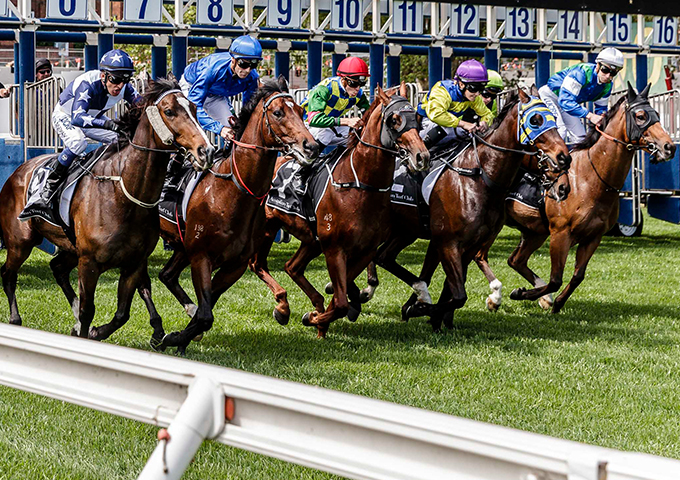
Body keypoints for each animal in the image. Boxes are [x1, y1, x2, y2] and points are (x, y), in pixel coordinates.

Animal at [0, 77, 214, 344]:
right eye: (169, 111)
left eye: (194, 109)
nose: (206, 151)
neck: (123, 194)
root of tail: (17, 171)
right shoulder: (89, 263)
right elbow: (88, 310)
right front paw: (87, 329)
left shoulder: (133, 263)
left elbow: (123, 312)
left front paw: (96, 331)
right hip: (20, 242)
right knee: (8, 274)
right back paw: (15, 319)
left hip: (69, 247)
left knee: (57, 268)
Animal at [157, 77, 319, 354]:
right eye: (278, 112)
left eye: (300, 111)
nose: (311, 146)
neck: (230, 192)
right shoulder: (201, 257)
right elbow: (205, 315)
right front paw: (173, 338)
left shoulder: (235, 265)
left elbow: (205, 312)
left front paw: (179, 338)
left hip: (182, 246)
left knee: (167, 275)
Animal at [249, 83, 430, 338]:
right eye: (394, 120)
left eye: (416, 117)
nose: (422, 156)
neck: (362, 186)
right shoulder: (335, 249)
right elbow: (341, 302)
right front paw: (315, 318)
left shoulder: (364, 250)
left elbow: (339, 298)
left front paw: (319, 318)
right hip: (267, 227)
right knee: (257, 264)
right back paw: (283, 308)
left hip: (311, 240)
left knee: (292, 267)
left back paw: (313, 304)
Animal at [373, 87, 572, 331]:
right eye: (536, 120)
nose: (564, 159)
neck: (478, 177)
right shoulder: (447, 243)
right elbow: (458, 294)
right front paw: (420, 309)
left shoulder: (470, 244)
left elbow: (452, 288)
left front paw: (438, 318)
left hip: (405, 232)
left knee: (384, 257)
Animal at [471, 83, 675, 313]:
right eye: (640, 116)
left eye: (657, 113)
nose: (669, 146)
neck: (592, 178)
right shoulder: (561, 234)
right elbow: (555, 279)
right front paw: (522, 294)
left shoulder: (593, 237)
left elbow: (578, 276)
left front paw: (556, 302)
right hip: (496, 225)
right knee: (480, 256)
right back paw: (495, 297)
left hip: (535, 232)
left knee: (515, 260)